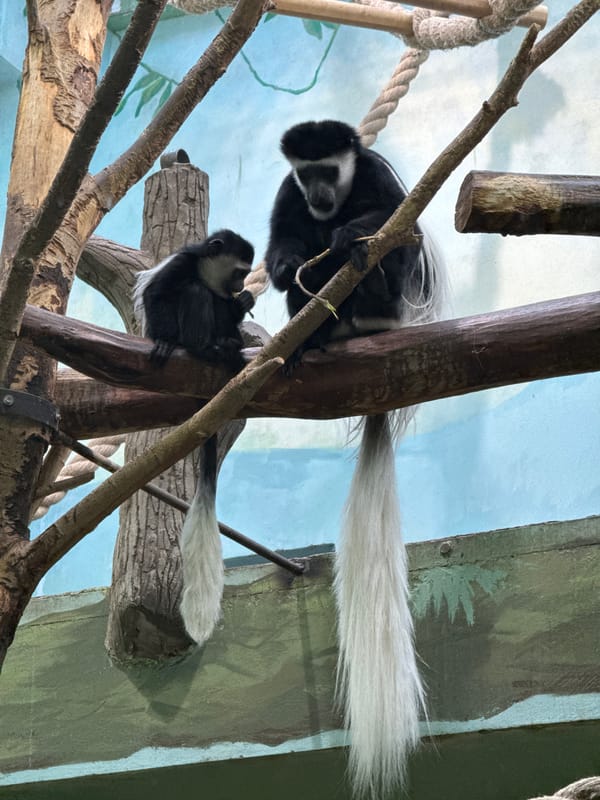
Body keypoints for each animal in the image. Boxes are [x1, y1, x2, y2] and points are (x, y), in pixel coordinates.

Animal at [134, 230, 255, 645]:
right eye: (239, 271)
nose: (240, 286)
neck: (207, 271)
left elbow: (230, 308)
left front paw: (245, 304)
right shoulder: (180, 265)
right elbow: (158, 295)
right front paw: (163, 341)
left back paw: (228, 348)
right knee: (195, 295)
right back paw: (205, 347)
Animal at [265, 120, 445, 798]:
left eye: (330, 170)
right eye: (306, 172)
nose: (320, 196)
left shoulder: (373, 176)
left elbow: (398, 218)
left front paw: (348, 237)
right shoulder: (287, 195)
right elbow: (282, 242)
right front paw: (289, 264)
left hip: (392, 304)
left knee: (384, 258)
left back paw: (356, 280)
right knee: (301, 284)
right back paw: (306, 337)